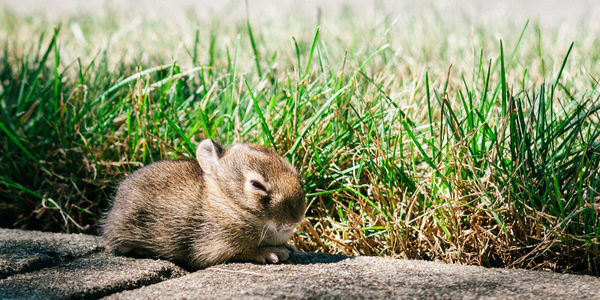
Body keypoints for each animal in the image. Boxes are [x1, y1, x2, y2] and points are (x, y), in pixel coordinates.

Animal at [101, 140, 304, 270]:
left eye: (295, 173)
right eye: (256, 185)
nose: (296, 218)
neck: (229, 204)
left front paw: (290, 248)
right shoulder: (213, 244)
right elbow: (242, 251)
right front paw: (273, 253)